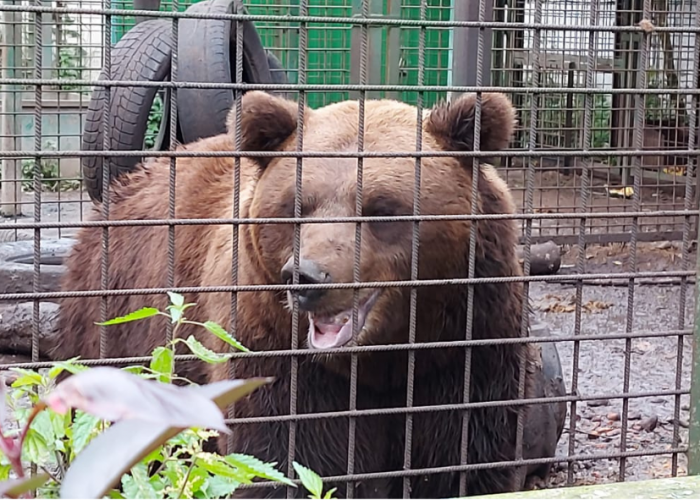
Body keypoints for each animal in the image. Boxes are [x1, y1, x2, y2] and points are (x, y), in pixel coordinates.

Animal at [50, 92, 564, 498]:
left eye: (381, 209)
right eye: (297, 206)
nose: (308, 276)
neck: (383, 360)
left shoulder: (465, 350)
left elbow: (463, 460)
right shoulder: (279, 357)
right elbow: (287, 461)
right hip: (116, 329)